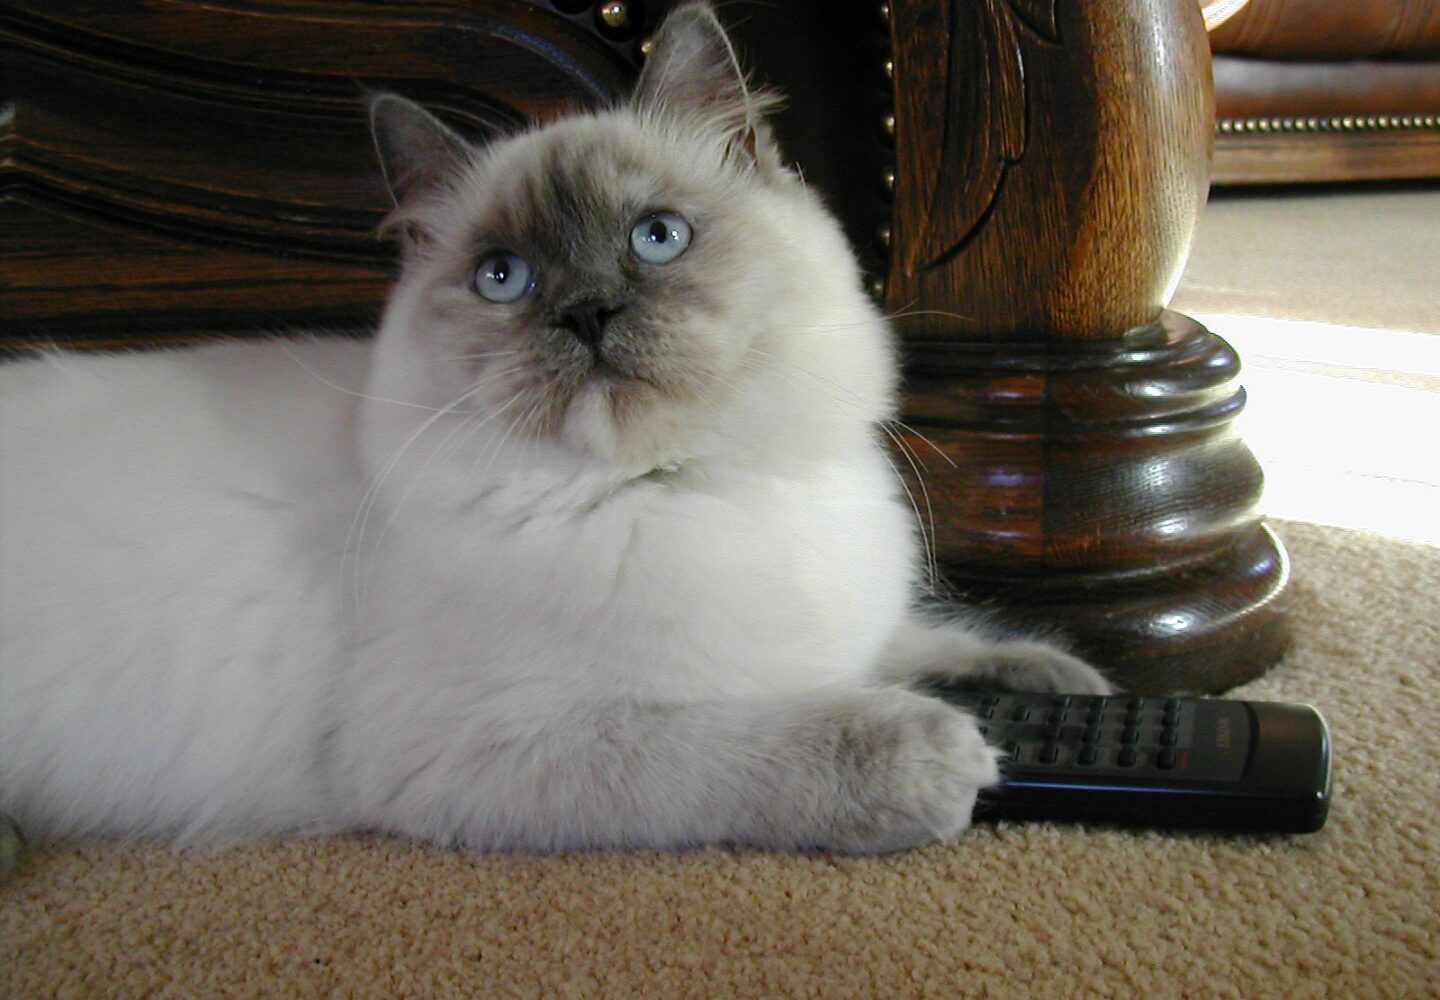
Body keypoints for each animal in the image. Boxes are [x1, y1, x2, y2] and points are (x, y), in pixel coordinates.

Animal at [0, 1, 1105, 864]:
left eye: (656, 238)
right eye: (505, 278)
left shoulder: (847, 622)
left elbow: (922, 637)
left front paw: (1065, 685)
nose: (585, 312)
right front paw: (943, 755)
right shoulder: (501, 743)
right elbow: (752, 739)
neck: (682, 482)